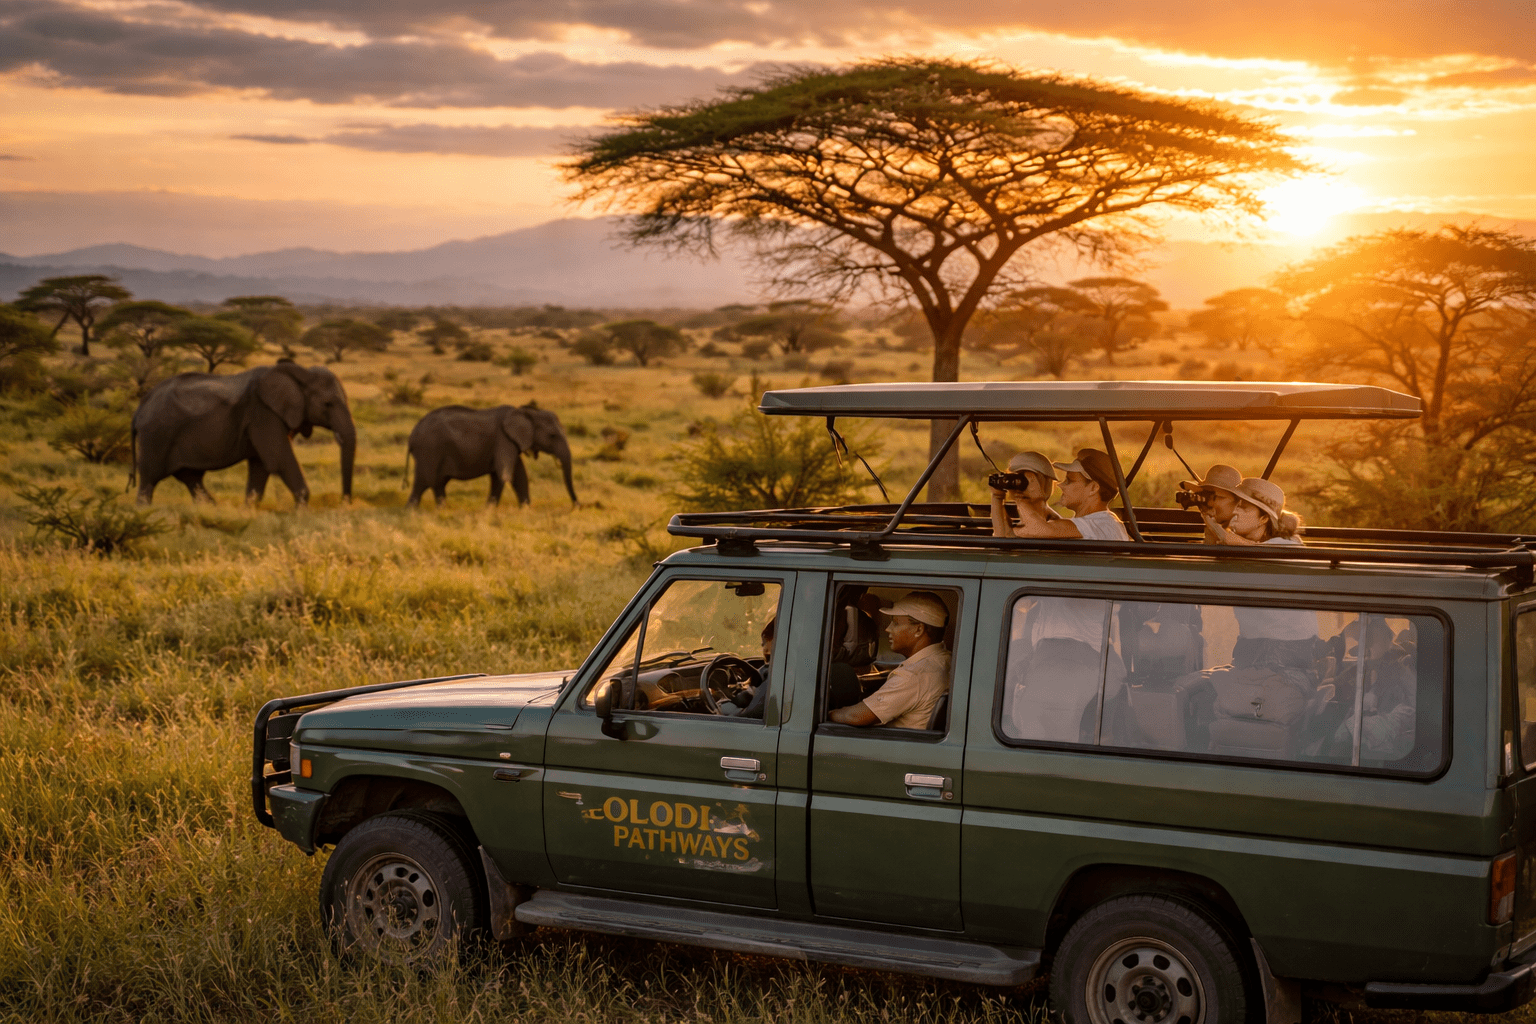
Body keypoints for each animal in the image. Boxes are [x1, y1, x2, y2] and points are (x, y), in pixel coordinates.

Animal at [130, 361, 356, 507]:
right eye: (328, 404)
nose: (344, 502)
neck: (300, 374)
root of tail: (139, 409)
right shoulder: (263, 413)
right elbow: (279, 458)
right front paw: (301, 510)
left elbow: (261, 464)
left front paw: (249, 509)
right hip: (156, 435)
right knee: (149, 480)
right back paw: (144, 512)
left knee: (190, 477)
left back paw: (211, 508)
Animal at [405, 404, 576, 508]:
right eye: (552, 435)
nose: (577, 506)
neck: (527, 413)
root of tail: (413, 434)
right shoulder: (503, 439)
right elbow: (503, 475)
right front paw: (489, 511)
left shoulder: (511, 442)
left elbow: (519, 476)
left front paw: (526, 509)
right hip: (429, 450)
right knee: (425, 482)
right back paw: (413, 512)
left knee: (437, 483)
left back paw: (440, 509)